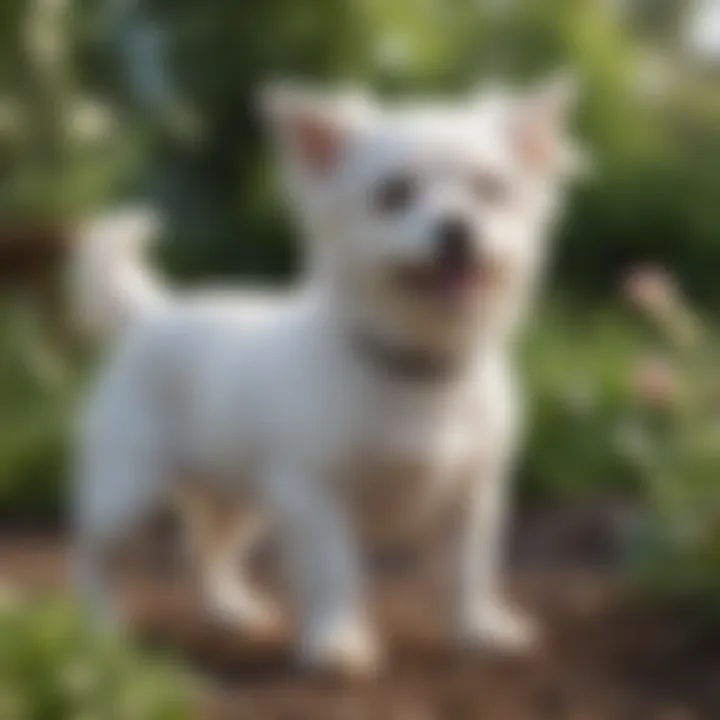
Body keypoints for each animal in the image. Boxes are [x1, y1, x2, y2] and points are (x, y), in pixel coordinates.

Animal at [70, 76, 584, 676]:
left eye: (491, 190)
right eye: (393, 194)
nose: (457, 227)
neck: (415, 366)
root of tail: (153, 314)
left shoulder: (471, 500)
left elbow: (469, 572)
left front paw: (479, 629)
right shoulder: (314, 497)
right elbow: (334, 572)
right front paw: (337, 642)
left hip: (240, 499)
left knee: (207, 550)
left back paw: (230, 609)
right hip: (130, 491)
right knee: (91, 549)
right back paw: (97, 625)